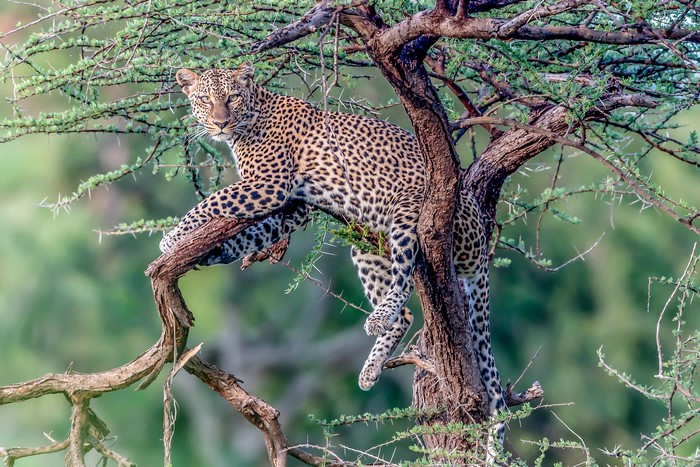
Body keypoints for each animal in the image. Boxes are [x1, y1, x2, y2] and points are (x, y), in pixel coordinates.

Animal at [160, 62, 506, 456]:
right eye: (205, 99)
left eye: (231, 98)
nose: (220, 123)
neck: (251, 117)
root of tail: (480, 241)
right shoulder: (292, 206)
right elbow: (250, 230)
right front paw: (211, 249)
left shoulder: (268, 185)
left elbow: (212, 201)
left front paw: (172, 236)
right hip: (367, 247)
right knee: (404, 315)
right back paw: (370, 368)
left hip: (410, 210)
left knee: (404, 279)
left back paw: (379, 319)